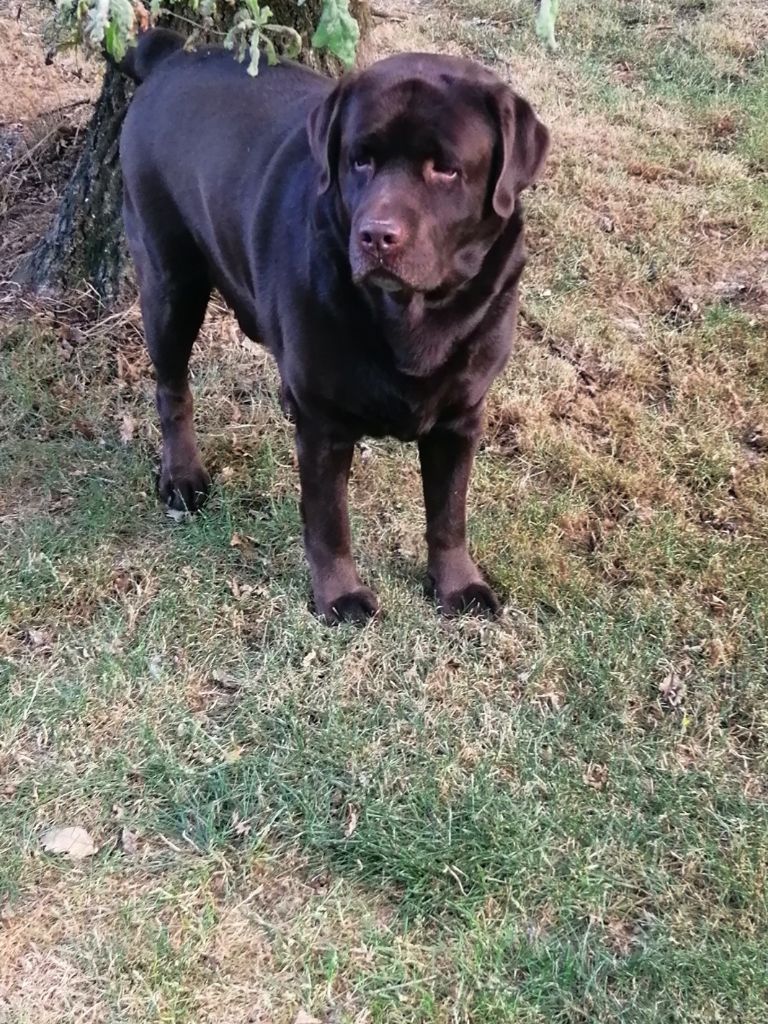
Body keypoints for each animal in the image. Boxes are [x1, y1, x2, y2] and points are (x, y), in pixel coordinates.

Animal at [120, 32, 548, 618]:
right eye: (359, 160)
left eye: (446, 169)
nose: (376, 236)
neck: (410, 316)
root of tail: (171, 55)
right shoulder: (324, 426)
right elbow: (329, 519)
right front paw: (339, 594)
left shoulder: (461, 417)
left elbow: (449, 513)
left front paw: (458, 583)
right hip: (170, 279)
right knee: (172, 386)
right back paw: (182, 475)